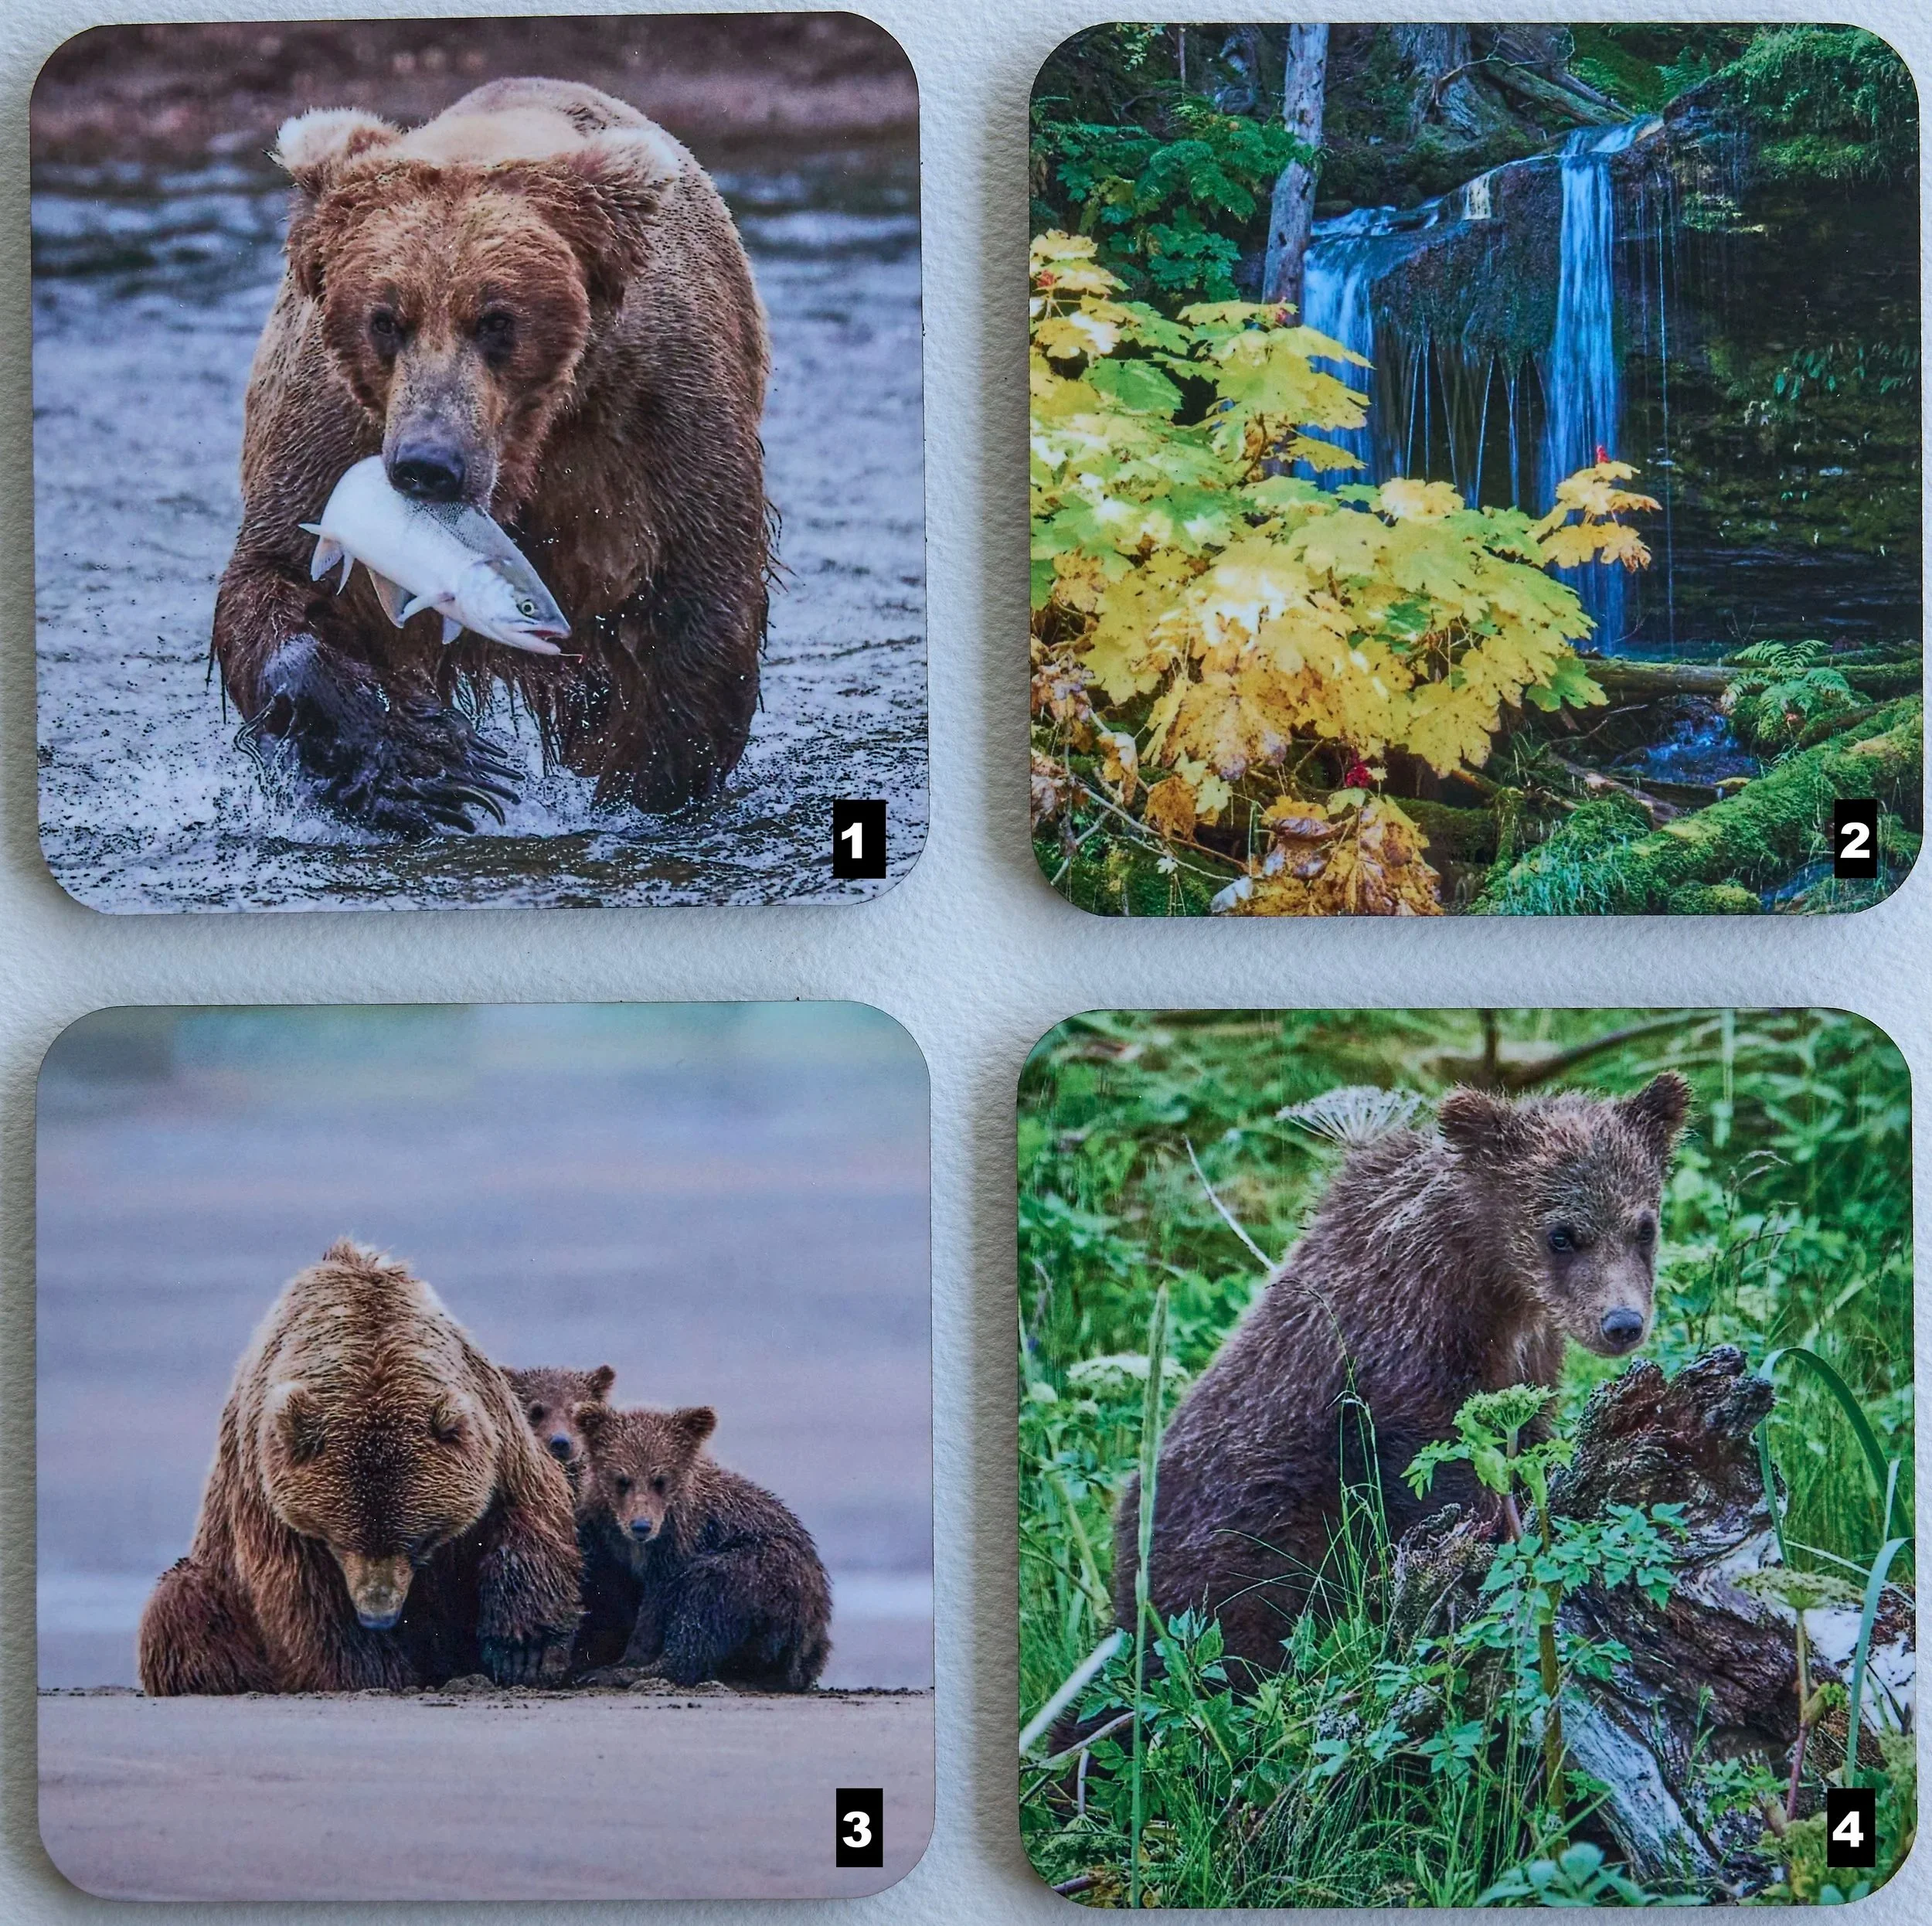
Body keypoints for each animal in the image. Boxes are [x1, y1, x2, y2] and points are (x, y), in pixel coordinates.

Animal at [137, 1240, 582, 1694]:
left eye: (420, 1540)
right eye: (338, 1540)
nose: (378, 1616)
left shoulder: (493, 1429)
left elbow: (528, 1513)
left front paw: (524, 1651)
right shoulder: (268, 1489)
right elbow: (305, 1598)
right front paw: (376, 1672)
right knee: (180, 1602)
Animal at [213, 77, 771, 837]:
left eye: (497, 319)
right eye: (385, 319)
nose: (427, 462)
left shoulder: (652, 413)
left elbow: (696, 610)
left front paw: (635, 789)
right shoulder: (327, 430)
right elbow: (278, 585)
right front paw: (433, 768)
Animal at [575, 1402, 831, 1691]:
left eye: (660, 1480)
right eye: (622, 1479)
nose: (641, 1525)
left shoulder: (677, 1549)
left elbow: (659, 1609)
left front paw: (627, 1662)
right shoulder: (608, 1544)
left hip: (772, 1575)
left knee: (707, 1595)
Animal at [1113, 1074, 1691, 1674]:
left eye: (1643, 1227)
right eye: (1562, 1234)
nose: (1622, 1323)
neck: (1493, 1290)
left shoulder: (1527, 1355)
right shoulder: (1399, 1358)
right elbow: (1440, 1465)